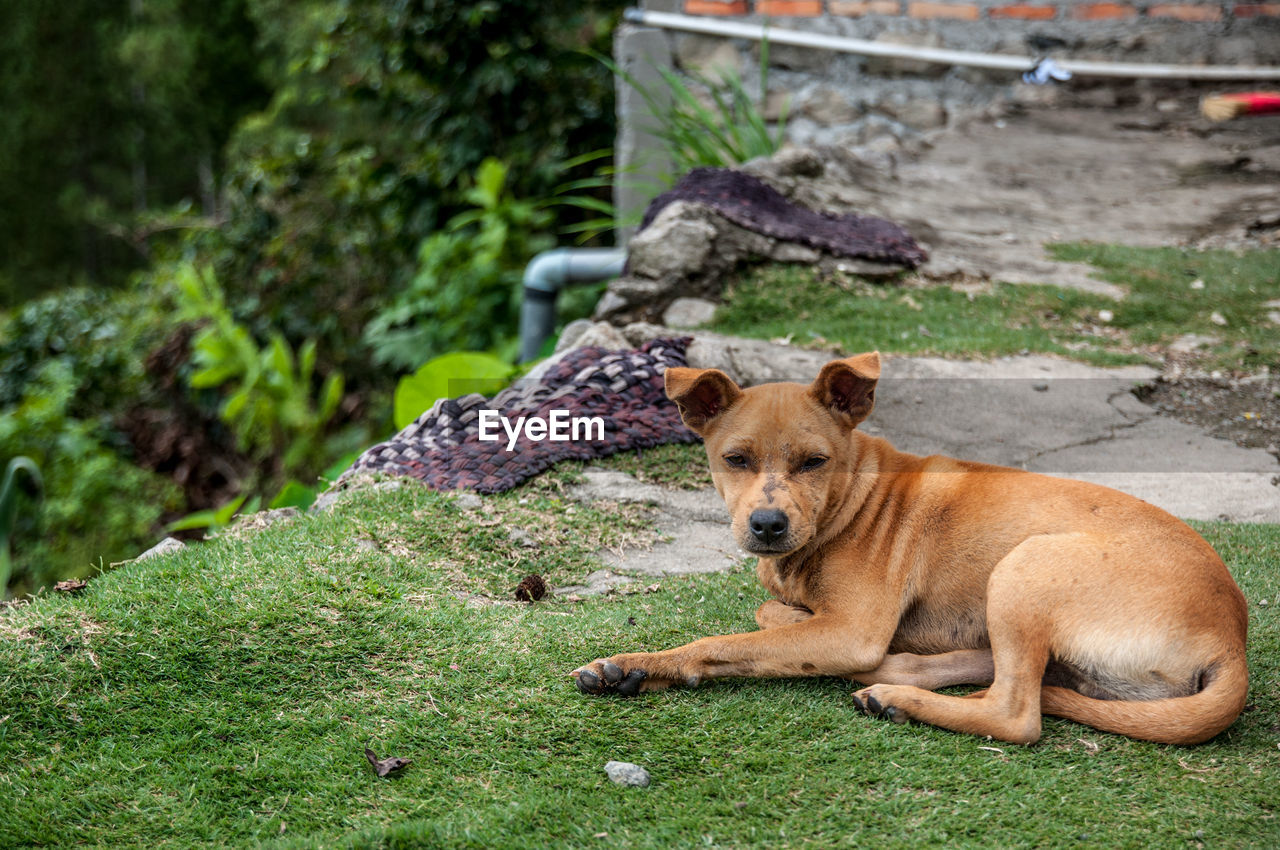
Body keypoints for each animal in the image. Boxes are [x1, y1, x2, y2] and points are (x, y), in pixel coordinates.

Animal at [576, 350, 1254, 742]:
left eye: (814, 462)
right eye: (734, 460)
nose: (767, 525)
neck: (854, 501)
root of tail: (1232, 640)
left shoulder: (852, 628)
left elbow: (735, 637)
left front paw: (649, 662)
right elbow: (765, 614)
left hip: (1026, 566)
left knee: (1016, 716)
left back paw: (896, 694)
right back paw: (895, 678)